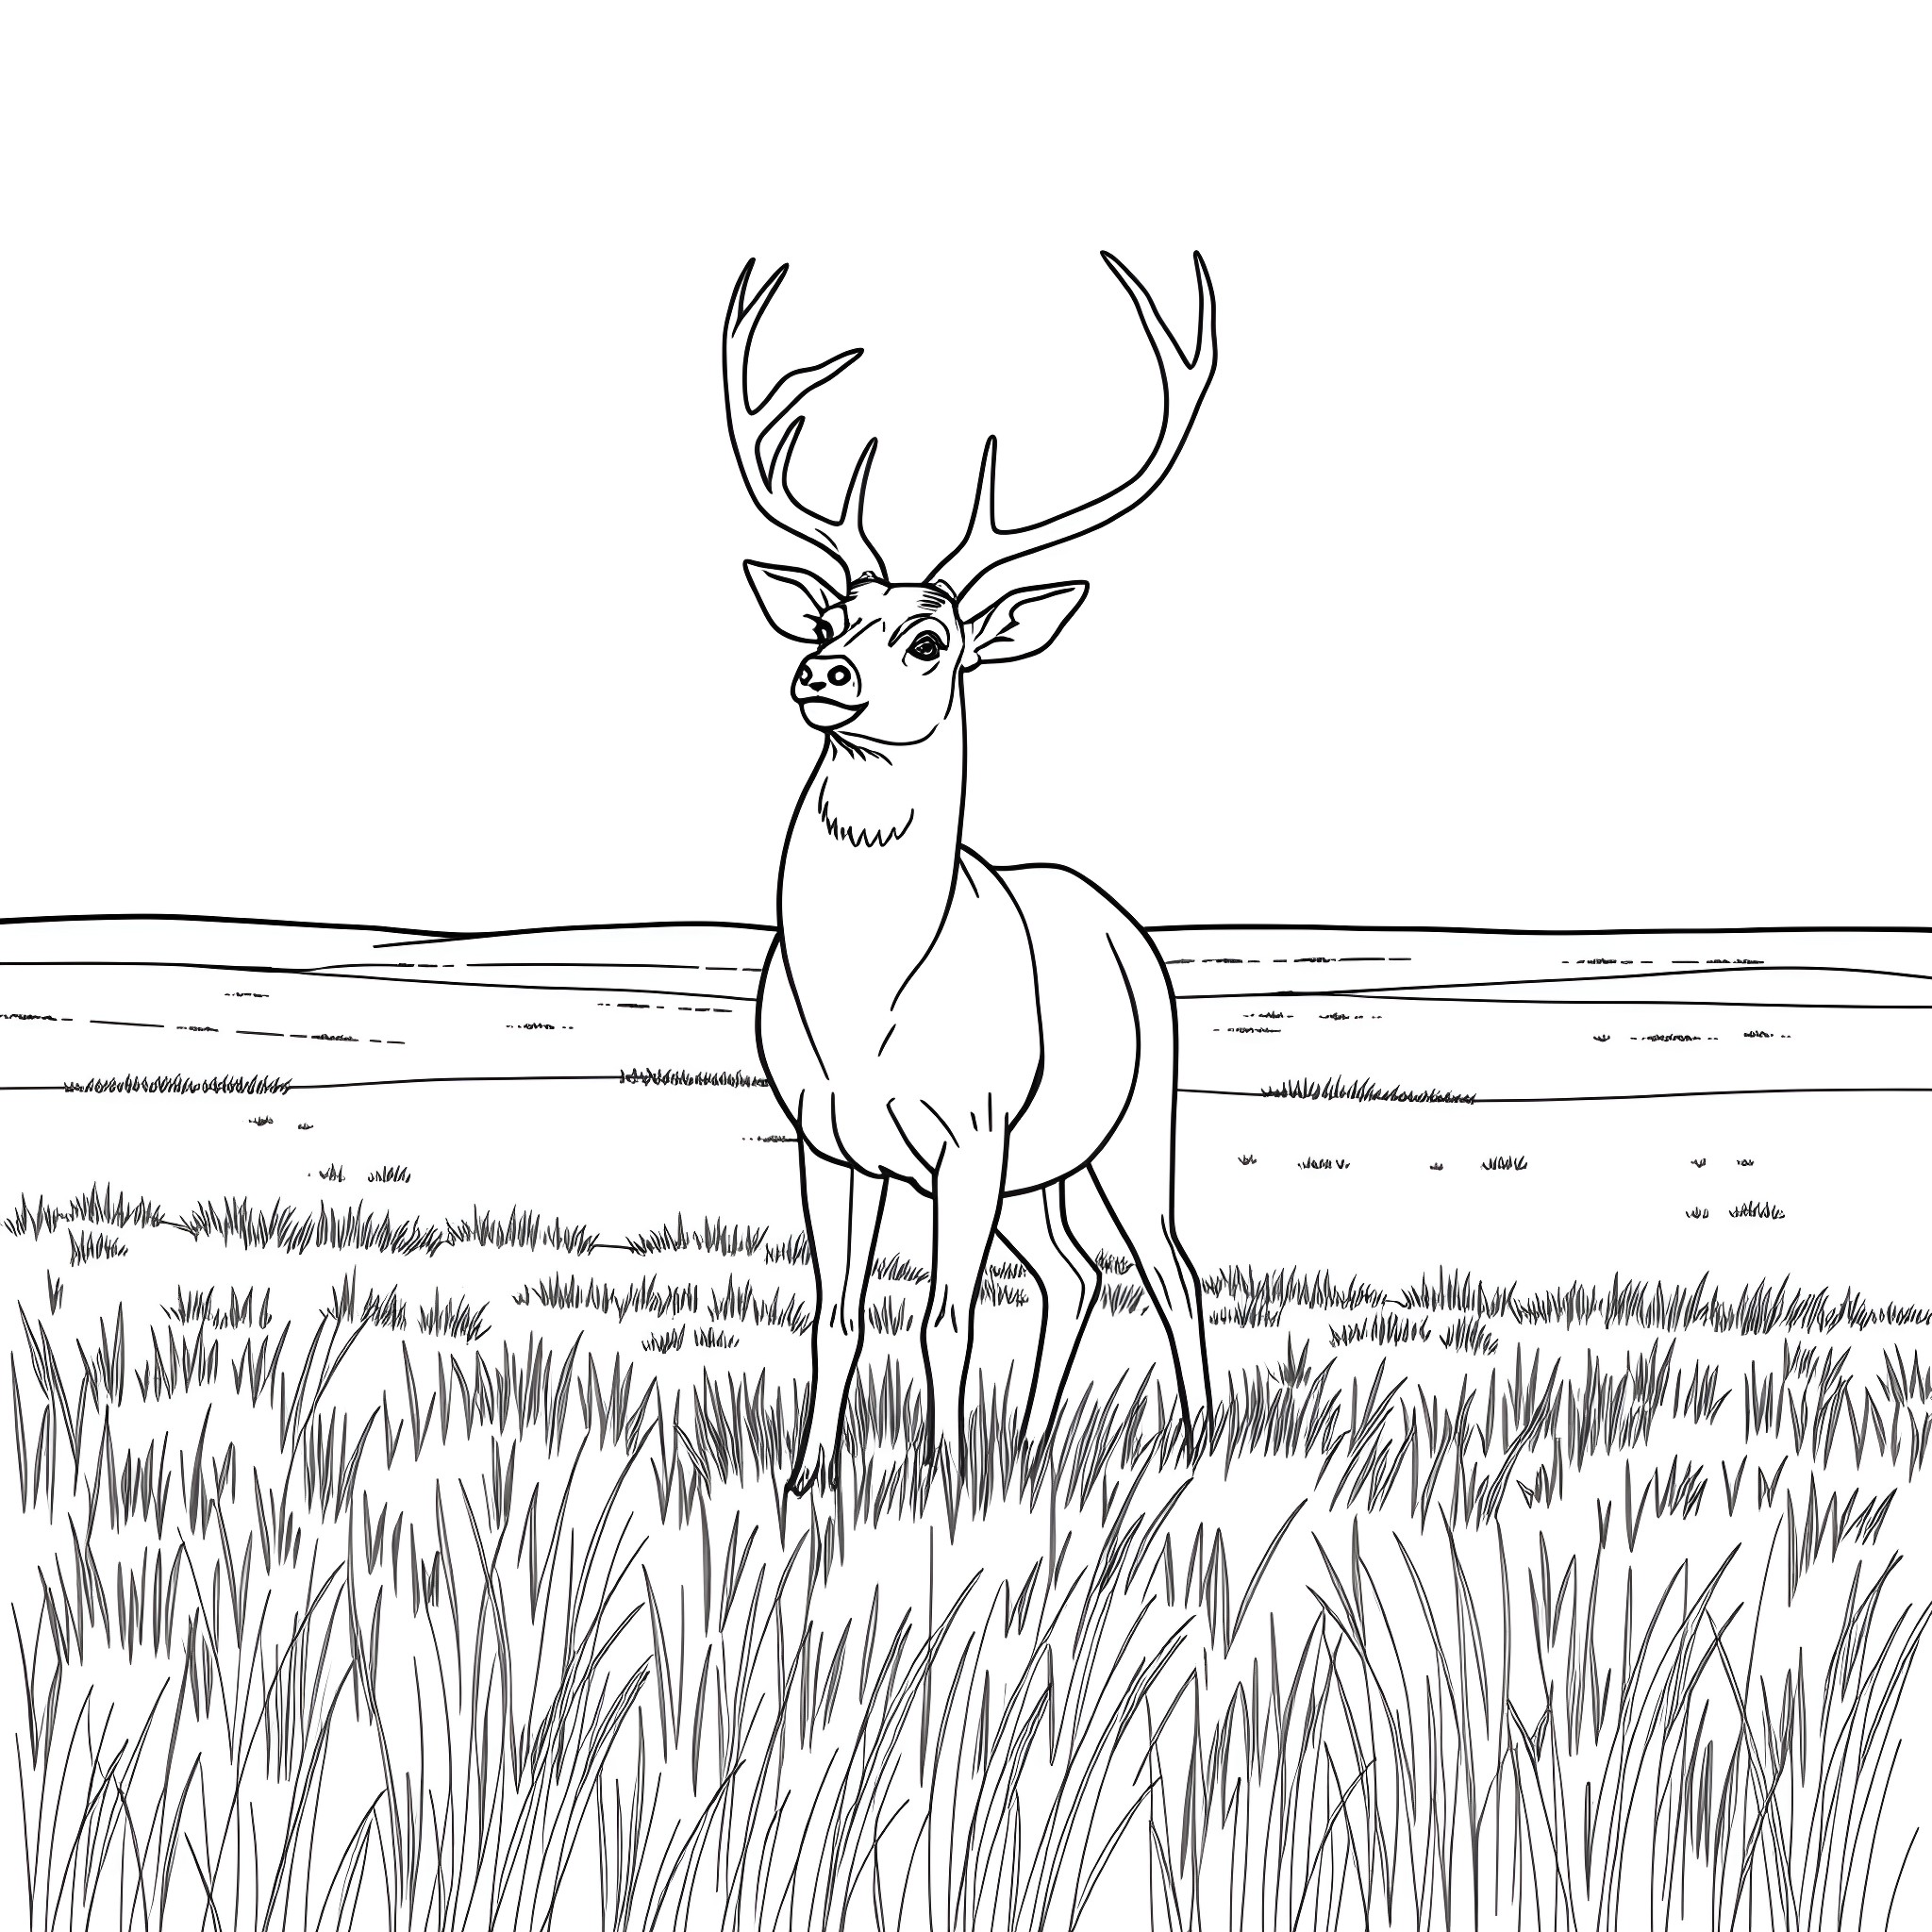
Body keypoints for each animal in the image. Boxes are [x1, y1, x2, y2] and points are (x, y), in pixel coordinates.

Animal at [723, 252, 1219, 1494]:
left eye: (929, 639)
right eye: (832, 613)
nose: (823, 673)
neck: (867, 1006)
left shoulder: (970, 1129)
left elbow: (943, 1317)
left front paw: (944, 1485)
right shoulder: (821, 1132)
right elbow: (834, 1312)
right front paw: (807, 1482)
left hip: (1131, 1125)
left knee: (1166, 1263)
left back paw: (1196, 1446)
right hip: (1044, 1167)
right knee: (1071, 1270)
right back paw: (1034, 1447)